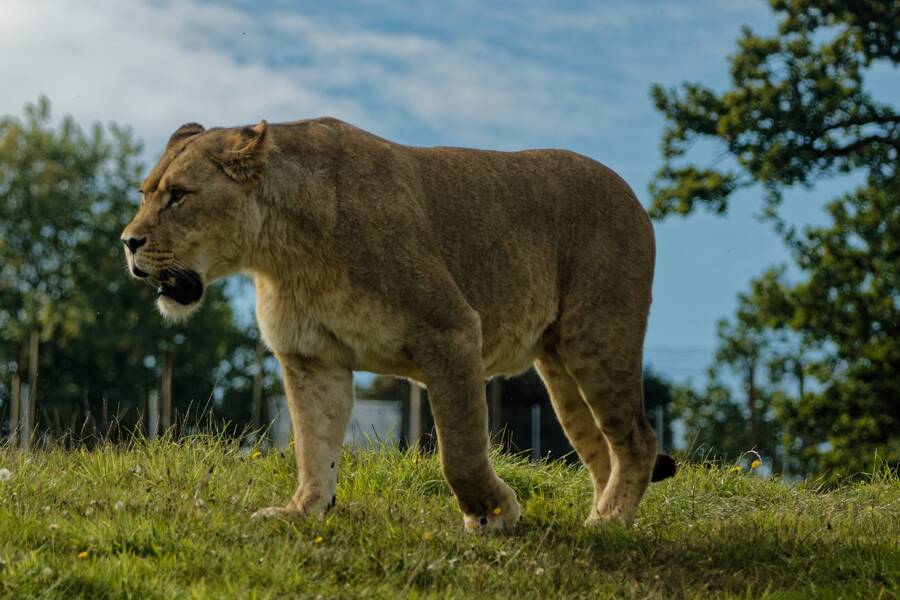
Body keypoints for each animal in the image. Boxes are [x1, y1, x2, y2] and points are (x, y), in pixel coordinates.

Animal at [121, 117, 675, 531]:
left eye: (178, 196)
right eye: (146, 193)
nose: (127, 241)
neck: (284, 250)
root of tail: (631, 195)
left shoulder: (452, 332)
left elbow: (460, 450)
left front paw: (493, 515)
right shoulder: (311, 359)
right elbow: (312, 445)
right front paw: (302, 510)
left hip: (597, 340)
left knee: (636, 440)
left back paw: (607, 521)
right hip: (558, 367)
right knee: (603, 449)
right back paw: (608, 520)